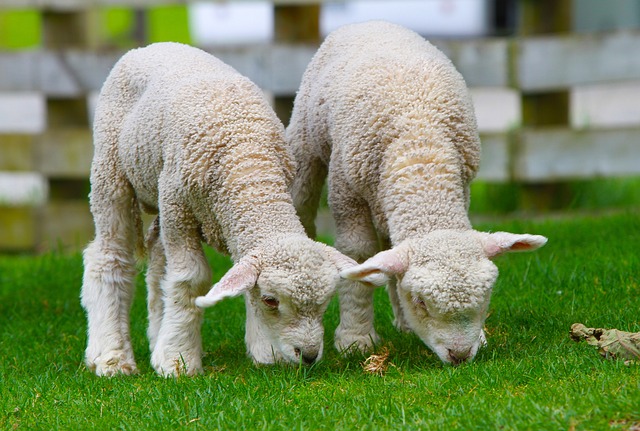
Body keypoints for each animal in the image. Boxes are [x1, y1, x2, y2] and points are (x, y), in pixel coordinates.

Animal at [79, 41, 360, 378]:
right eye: (271, 301)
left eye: (326, 301)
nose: (308, 355)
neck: (248, 161)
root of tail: (148, 47)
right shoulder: (179, 208)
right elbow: (190, 279)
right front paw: (178, 360)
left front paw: (262, 352)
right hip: (111, 170)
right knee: (109, 256)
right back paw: (112, 356)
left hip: (158, 189)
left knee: (158, 264)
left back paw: (157, 336)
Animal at [288, 22, 548, 366]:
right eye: (422, 302)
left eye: (486, 296)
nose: (460, 355)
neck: (421, 150)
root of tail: (371, 22)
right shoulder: (348, 193)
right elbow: (358, 254)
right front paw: (356, 338)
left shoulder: (461, 186)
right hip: (306, 141)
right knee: (304, 202)